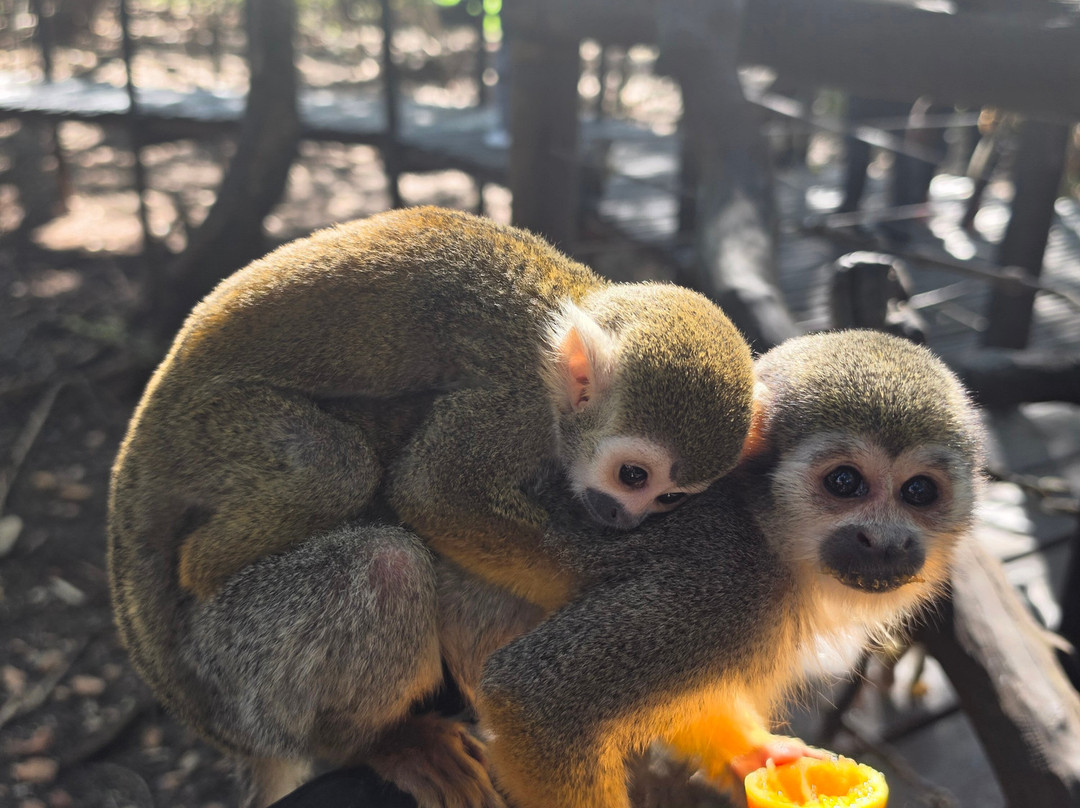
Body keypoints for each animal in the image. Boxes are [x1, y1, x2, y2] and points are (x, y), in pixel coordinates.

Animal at [107, 206, 755, 806]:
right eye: (632, 475)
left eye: (669, 497)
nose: (625, 519)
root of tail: (148, 425)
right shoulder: (515, 405)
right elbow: (432, 490)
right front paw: (584, 580)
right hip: (212, 428)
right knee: (341, 483)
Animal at [475, 328, 985, 808]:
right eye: (844, 481)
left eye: (919, 491)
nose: (883, 541)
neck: (769, 538)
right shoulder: (721, 586)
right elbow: (532, 703)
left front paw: (761, 753)